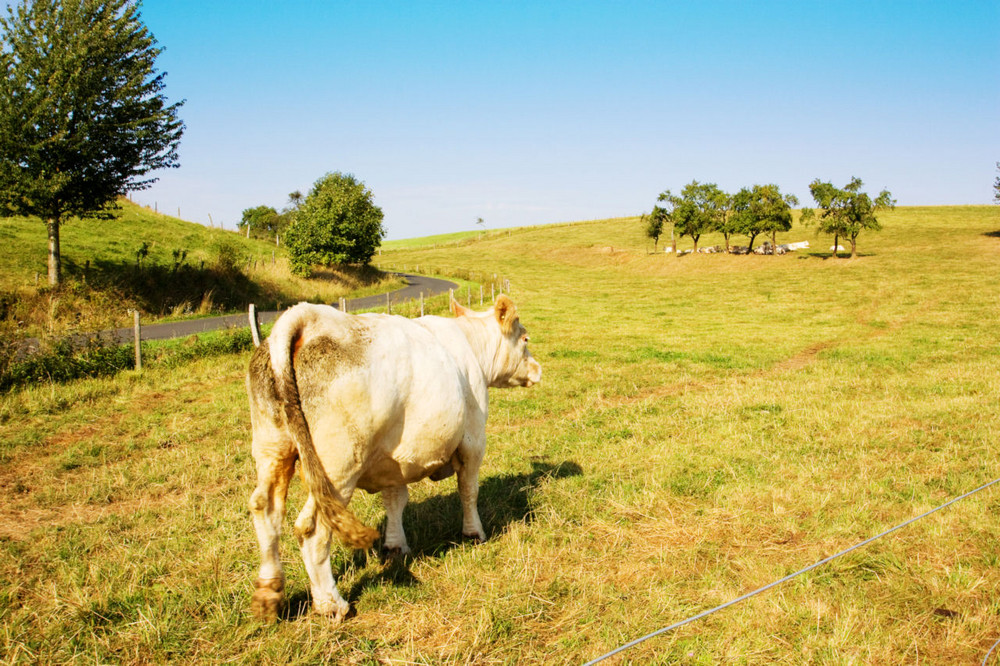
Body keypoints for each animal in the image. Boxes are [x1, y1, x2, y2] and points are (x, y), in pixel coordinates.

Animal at [247, 294, 544, 616]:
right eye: (525, 338)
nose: (537, 368)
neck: (471, 348)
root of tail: (307, 318)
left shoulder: (392, 459)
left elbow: (395, 500)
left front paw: (394, 546)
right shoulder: (473, 440)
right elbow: (468, 490)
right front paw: (474, 533)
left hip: (272, 448)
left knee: (265, 508)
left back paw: (269, 594)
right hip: (337, 467)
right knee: (312, 527)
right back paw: (331, 603)